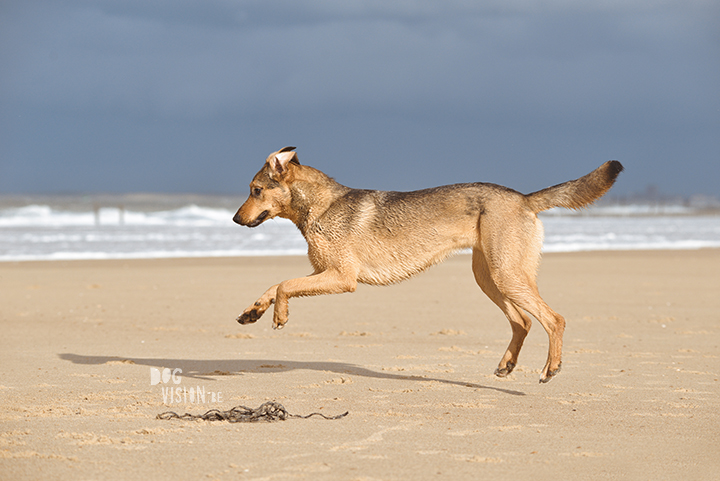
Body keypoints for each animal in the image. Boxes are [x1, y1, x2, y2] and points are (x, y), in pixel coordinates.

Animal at [233, 146, 620, 382]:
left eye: (255, 190)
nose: (235, 220)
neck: (319, 206)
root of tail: (524, 199)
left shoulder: (341, 277)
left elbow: (285, 284)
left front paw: (280, 314)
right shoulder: (322, 273)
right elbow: (275, 285)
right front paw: (254, 310)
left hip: (506, 275)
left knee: (554, 319)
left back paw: (550, 369)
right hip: (489, 278)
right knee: (522, 321)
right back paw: (507, 364)